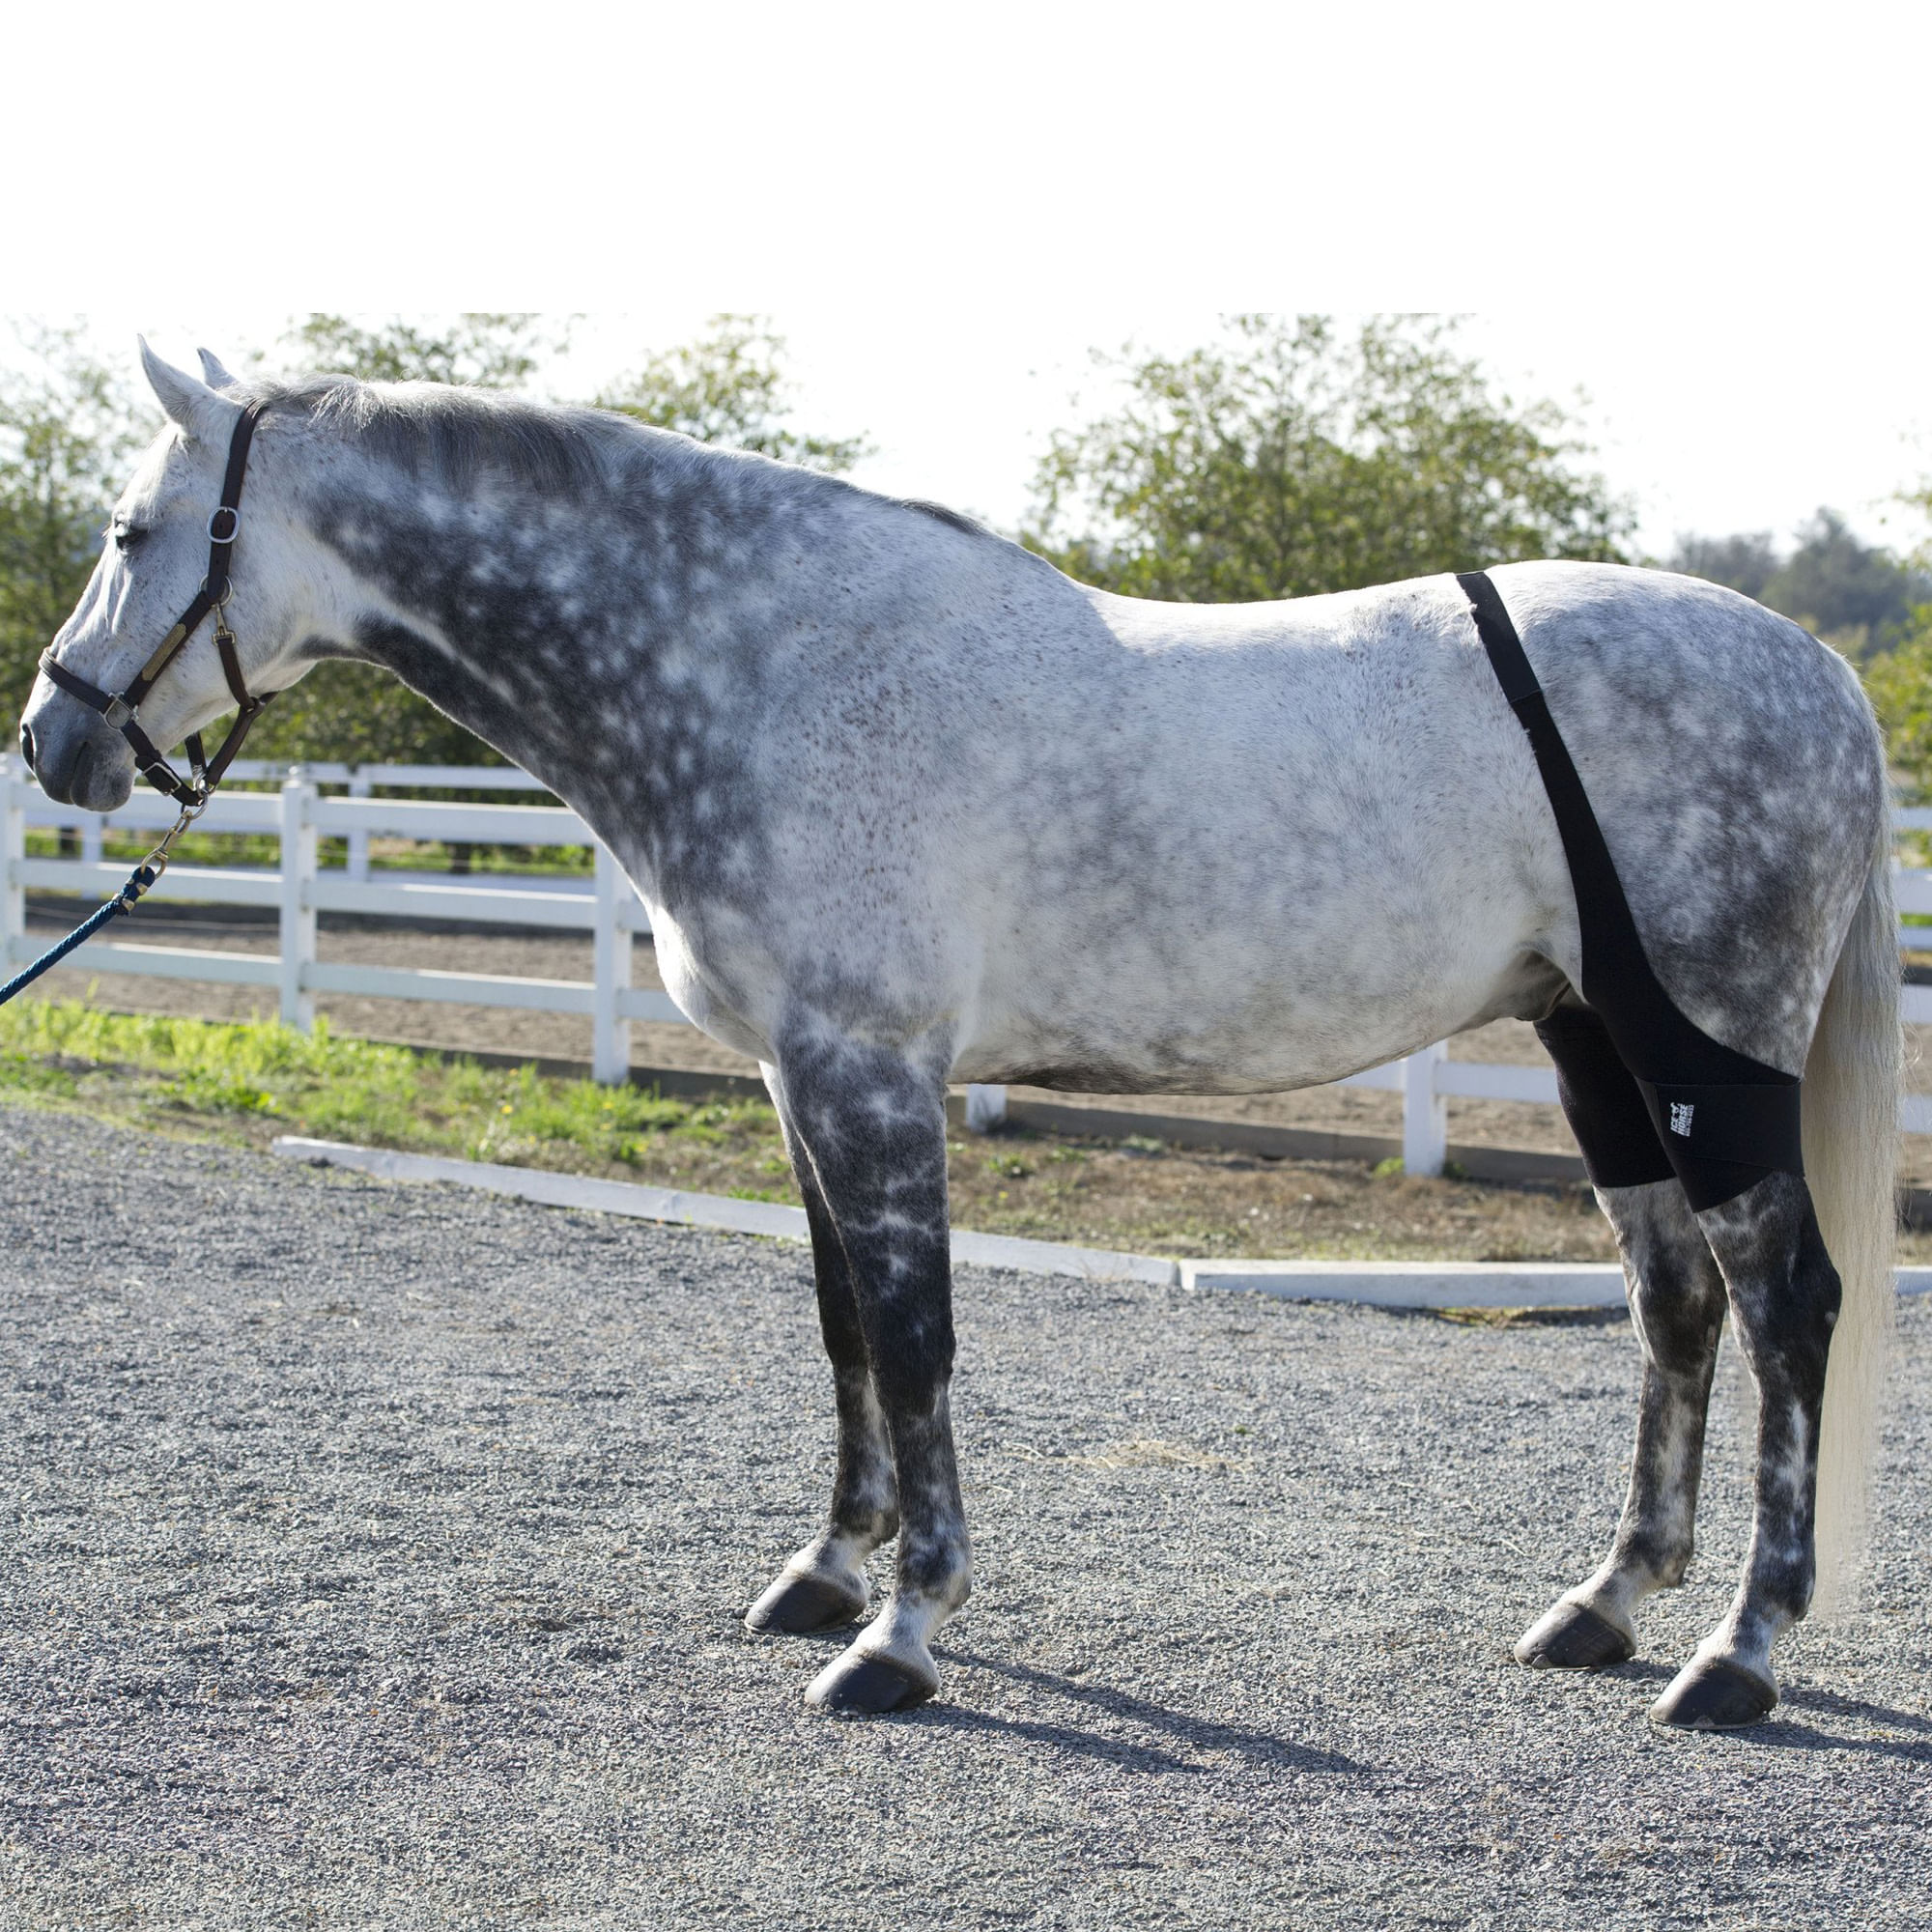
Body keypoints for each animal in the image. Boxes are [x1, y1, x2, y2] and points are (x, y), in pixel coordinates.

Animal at [18, 344, 1898, 1729]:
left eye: (128, 530)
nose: (52, 739)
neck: (763, 664)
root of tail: (1822, 673)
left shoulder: (869, 1070)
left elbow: (917, 1339)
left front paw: (903, 1633)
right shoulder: (800, 1079)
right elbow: (845, 1327)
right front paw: (826, 1574)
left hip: (1708, 1061)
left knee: (1788, 1305)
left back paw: (1739, 1656)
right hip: (1594, 1055)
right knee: (1676, 1307)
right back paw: (1607, 1605)